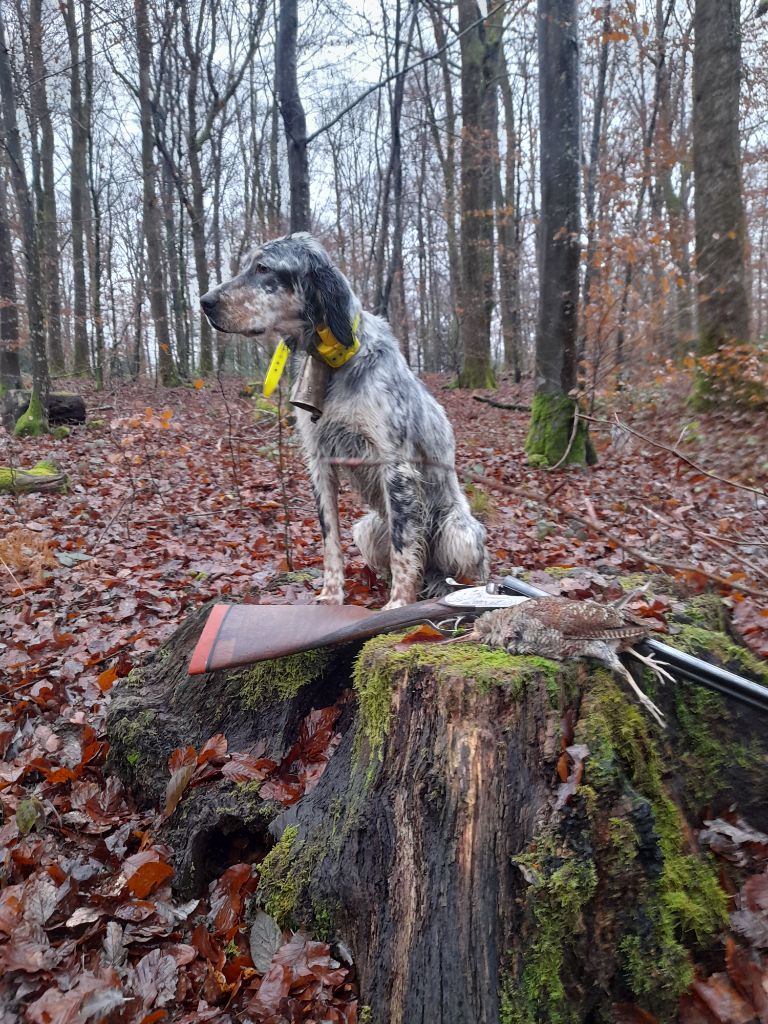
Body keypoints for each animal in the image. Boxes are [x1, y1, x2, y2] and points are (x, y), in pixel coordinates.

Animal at [198, 232, 487, 606]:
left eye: (263, 268)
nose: (204, 302)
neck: (336, 362)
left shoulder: (395, 466)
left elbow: (403, 548)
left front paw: (397, 603)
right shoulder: (320, 462)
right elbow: (330, 540)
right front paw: (332, 595)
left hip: (459, 531)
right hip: (366, 528)